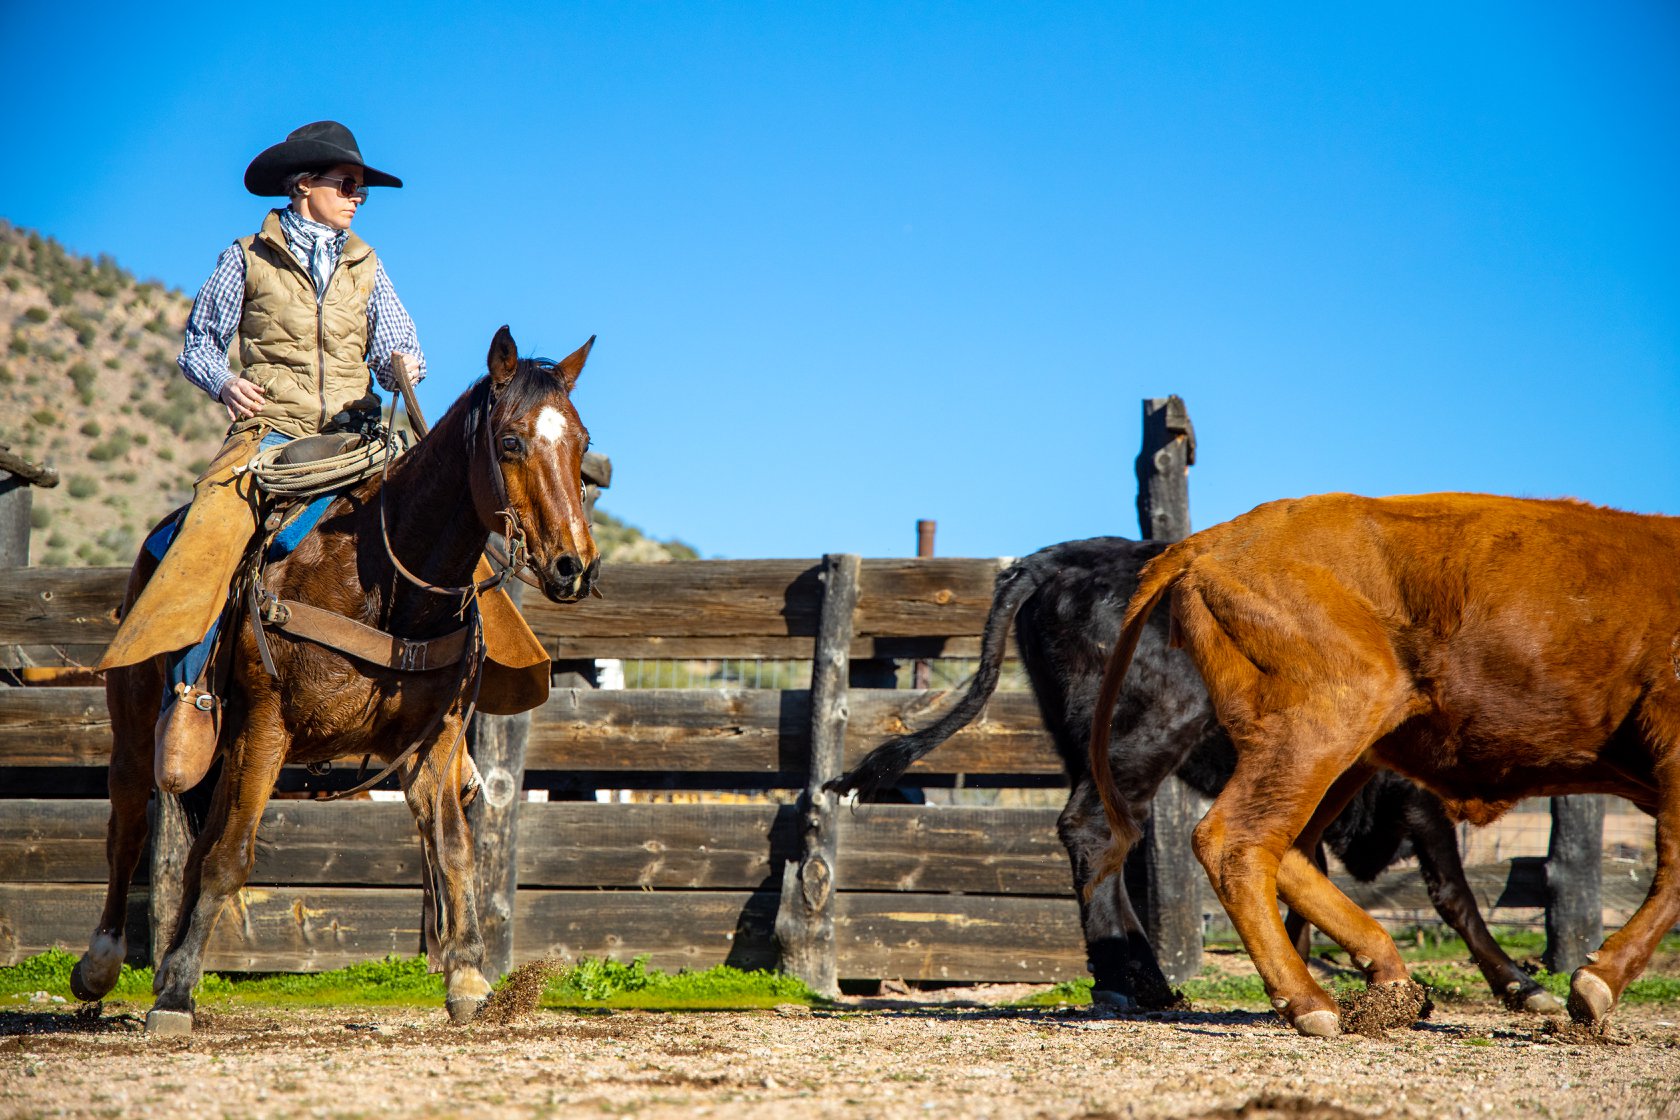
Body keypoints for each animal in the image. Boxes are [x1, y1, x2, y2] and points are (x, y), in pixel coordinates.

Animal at [829, 537, 1558, 1013]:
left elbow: (1298, 867)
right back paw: (1135, 980)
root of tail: (1053, 559)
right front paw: (1521, 985)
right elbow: (1452, 892)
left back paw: (1134, 980)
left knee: (1109, 839)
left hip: (1092, 744)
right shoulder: (1410, 795)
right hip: (1155, 729)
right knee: (1094, 830)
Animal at [1085, 493, 1676, 1036]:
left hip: (1345, 758)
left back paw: (1389, 977)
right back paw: (1312, 1004)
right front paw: (1595, 986)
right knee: (1236, 840)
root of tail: (1208, 541)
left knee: (1291, 847)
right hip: (1327, 723)